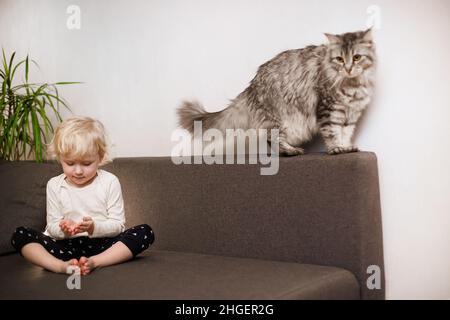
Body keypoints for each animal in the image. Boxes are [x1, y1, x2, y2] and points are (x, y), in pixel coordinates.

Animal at [178, 28, 374, 155]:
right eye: (339, 59)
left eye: (357, 57)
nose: (348, 68)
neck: (353, 85)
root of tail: (252, 86)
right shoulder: (328, 108)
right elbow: (332, 132)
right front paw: (336, 148)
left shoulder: (351, 113)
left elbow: (345, 133)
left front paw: (346, 147)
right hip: (277, 117)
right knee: (272, 138)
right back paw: (290, 151)